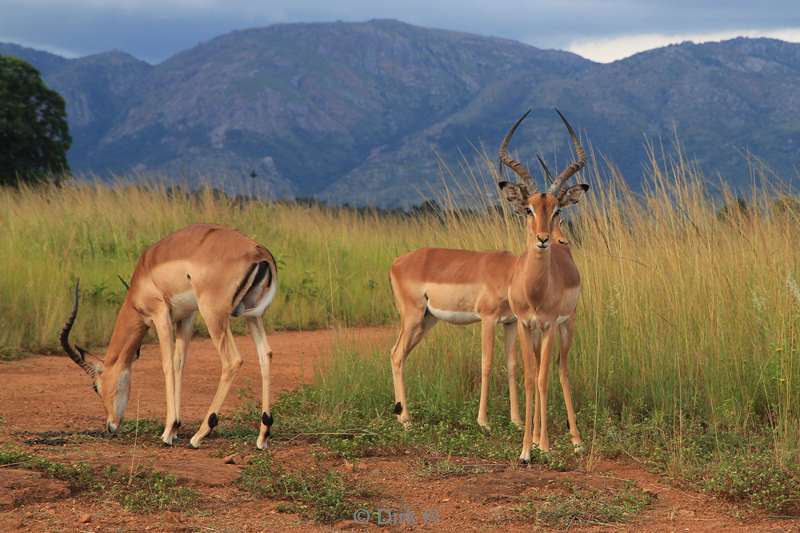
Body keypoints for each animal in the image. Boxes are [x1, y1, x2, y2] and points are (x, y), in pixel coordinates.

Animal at [59, 222, 278, 446]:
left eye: (95, 387)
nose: (110, 426)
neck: (145, 273)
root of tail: (259, 252)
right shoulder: (187, 317)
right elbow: (179, 363)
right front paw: (175, 429)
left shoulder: (160, 316)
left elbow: (167, 365)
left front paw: (168, 431)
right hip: (251, 315)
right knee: (265, 354)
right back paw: (263, 435)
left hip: (214, 315)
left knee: (232, 360)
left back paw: (199, 435)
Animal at [496, 108, 592, 458]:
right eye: (529, 209)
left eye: (556, 209)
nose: (543, 239)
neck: (536, 291)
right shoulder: (525, 325)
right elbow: (528, 378)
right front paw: (526, 450)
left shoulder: (550, 325)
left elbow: (543, 378)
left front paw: (546, 447)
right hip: (537, 333)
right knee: (538, 369)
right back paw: (537, 438)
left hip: (567, 326)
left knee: (560, 370)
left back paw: (575, 440)